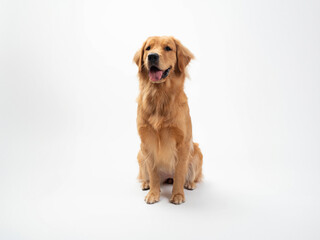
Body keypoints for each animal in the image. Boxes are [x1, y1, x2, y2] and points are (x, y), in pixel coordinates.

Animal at [132, 35, 202, 204]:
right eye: (148, 48)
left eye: (168, 48)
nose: (152, 56)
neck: (160, 96)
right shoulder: (147, 141)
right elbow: (153, 172)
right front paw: (153, 193)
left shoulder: (183, 143)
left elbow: (180, 173)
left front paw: (177, 195)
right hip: (140, 154)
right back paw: (146, 184)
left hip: (197, 151)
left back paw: (189, 184)